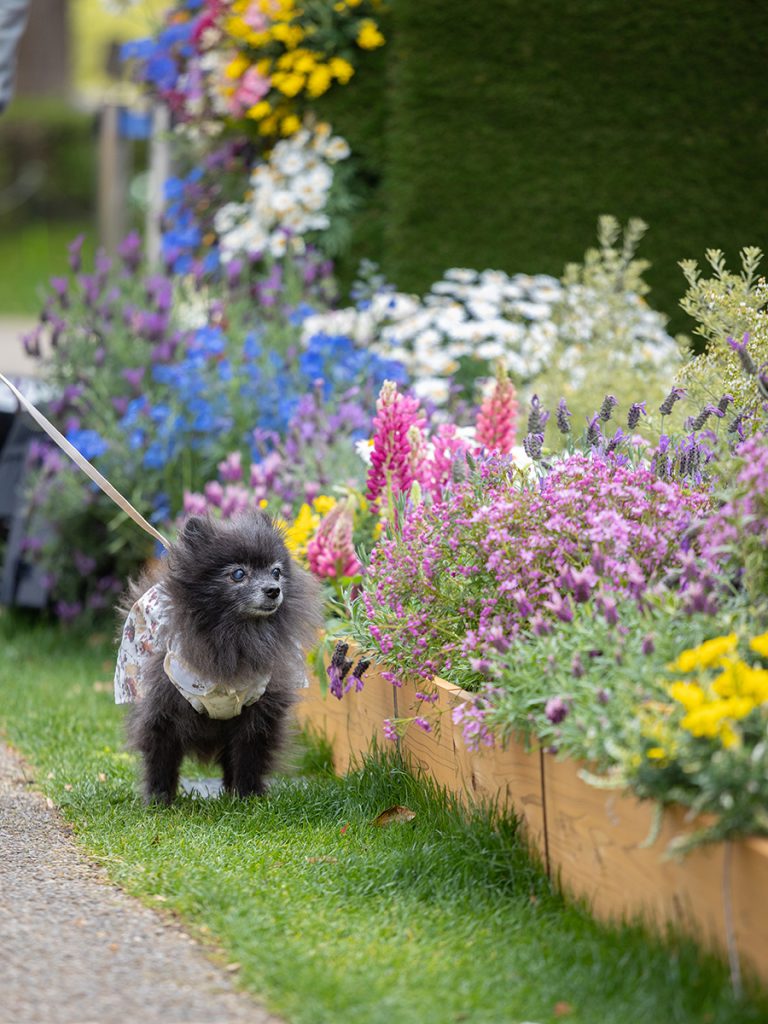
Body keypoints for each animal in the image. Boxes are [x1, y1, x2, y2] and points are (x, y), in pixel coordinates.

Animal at [114, 516, 321, 802]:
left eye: (276, 572)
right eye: (238, 574)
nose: (273, 590)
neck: (237, 634)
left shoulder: (259, 712)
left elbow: (250, 756)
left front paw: (248, 796)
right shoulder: (162, 709)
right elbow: (161, 756)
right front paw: (159, 798)